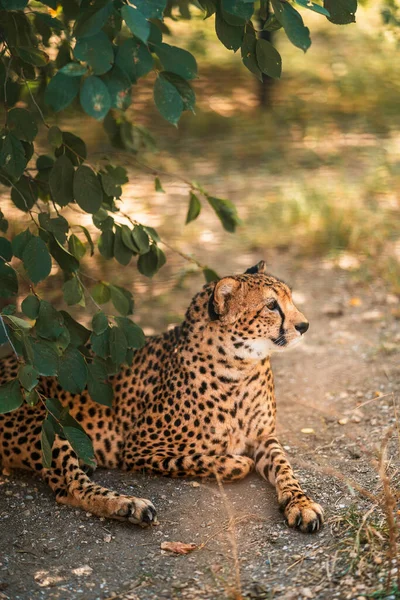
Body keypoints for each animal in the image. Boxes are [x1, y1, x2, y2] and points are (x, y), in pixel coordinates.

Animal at [0, 260, 324, 532]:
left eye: (290, 299)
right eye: (271, 306)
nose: (305, 325)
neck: (238, 366)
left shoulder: (264, 436)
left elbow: (285, 467)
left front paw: (301, 503)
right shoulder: (136, 450)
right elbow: (218, 461)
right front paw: (237, 461)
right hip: (44, 420)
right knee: (71, 487)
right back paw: (130, 506)